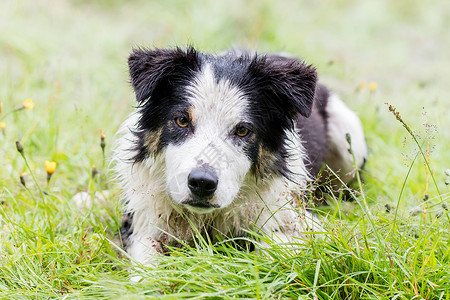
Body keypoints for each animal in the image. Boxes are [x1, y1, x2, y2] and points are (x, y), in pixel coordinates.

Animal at [110, 46, 368, 268]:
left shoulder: (298, 217)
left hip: (349, 139)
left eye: (243, 130)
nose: (201, 183)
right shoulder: (140, 219)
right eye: (182, 120)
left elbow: (276, 244)